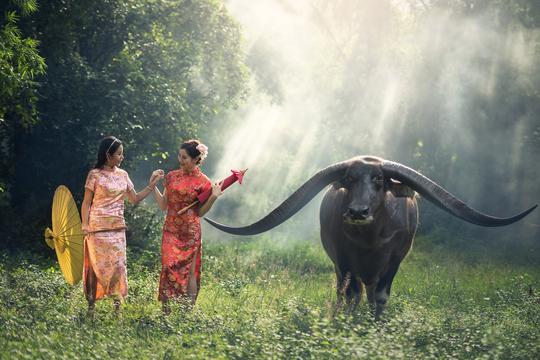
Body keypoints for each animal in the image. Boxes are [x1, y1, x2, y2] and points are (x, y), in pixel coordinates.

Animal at [205, 156, 536, 316]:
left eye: (378, 179)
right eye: (349, 179)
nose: (358, 211)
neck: (370, 241)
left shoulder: (394, 261)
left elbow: (380, 296)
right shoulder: (344, 261)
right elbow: (351, 294)